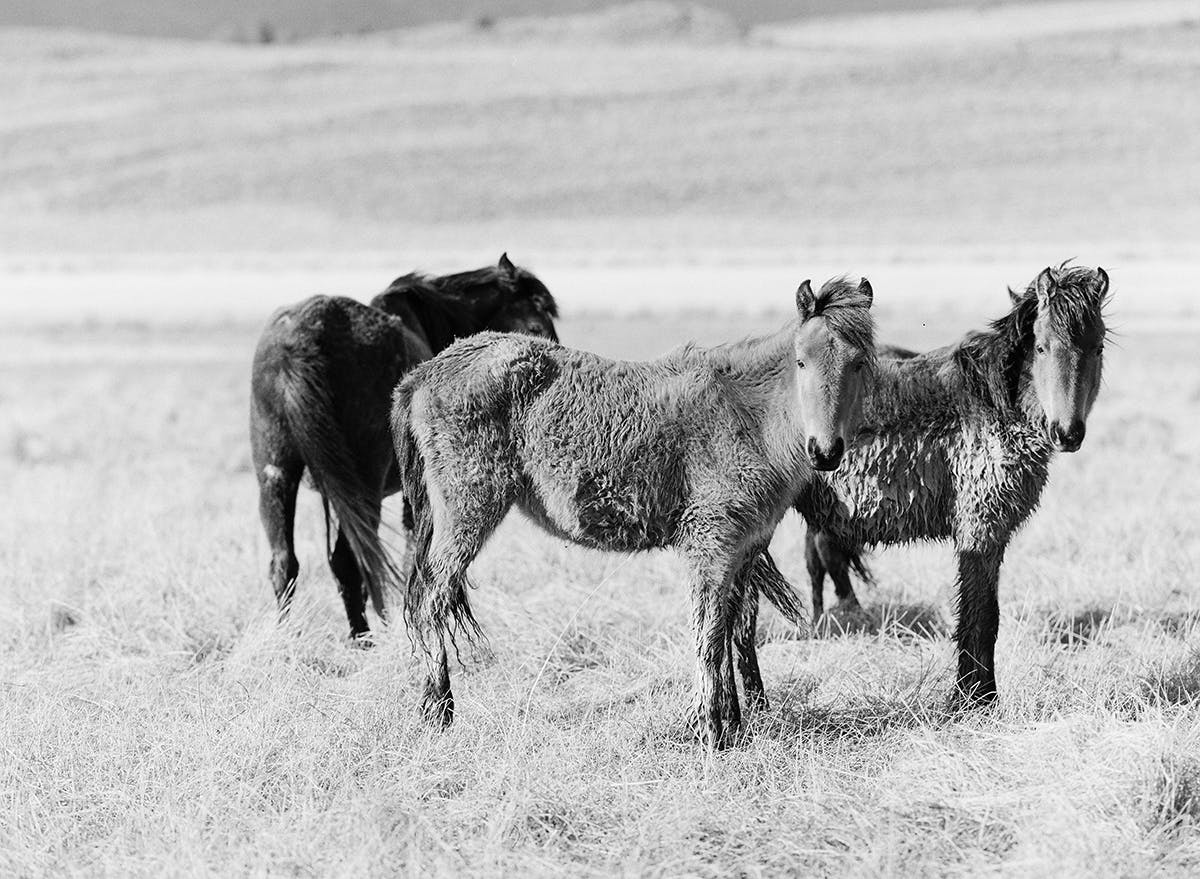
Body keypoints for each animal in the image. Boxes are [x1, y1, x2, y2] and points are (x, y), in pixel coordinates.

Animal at [250, 254, 559, 638]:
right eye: (535, 324)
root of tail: (299, 342)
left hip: (276, 473)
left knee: (285, 562)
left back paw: (286, 635)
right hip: (362, 486)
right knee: (350, 559)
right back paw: (362, 637)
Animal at [398, 276, 878, 749]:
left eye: (858, 364)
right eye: (801, 361)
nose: (825, 452)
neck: (747, 414)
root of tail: (423, 374)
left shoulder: (743, 549)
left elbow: (731, 630)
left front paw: (732, 726)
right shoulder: (710, 546)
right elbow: (708, 635)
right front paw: (710, 731)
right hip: (468, 513)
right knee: (430, 602)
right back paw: (437, 712)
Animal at [777, 264, 1104, 706]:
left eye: (1098, 347)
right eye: (1042, 348)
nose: (1067, 433)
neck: (993, 407)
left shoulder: (991, 536)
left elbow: (983, 617)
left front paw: (979, 695)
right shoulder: (979, 532)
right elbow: (978, 618)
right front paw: (973, 700)